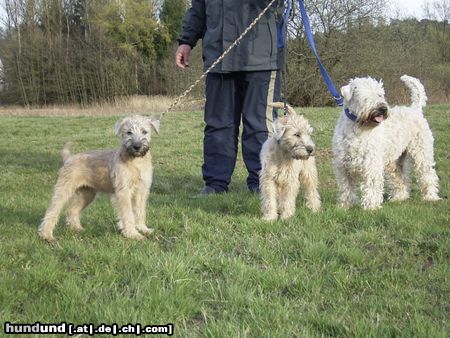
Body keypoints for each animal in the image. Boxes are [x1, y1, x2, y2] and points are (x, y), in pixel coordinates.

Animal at [332, 75, 442, 210]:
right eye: (365, 95)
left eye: (380, 94)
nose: (383, 108)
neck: (358, 128)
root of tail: (415, 110)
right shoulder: (343, 165)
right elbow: (346, 187)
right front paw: (345, 206)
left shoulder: (372, 163)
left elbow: (372, 186)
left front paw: (371, 207)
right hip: (395, 161)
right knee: (400, 178)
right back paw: (399, 198)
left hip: (422, 153)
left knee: (428, 175)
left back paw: (430, 197)